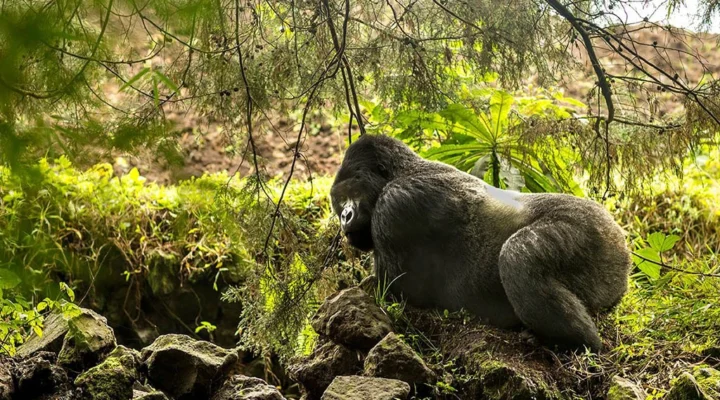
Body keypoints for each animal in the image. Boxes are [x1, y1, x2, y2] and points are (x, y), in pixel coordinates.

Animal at [329, 134, 632, 352]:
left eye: (351, 191)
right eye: (338, 201)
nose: (344, 216)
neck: (402, 171)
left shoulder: (396, 204)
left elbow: (392, 291)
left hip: (596, 232)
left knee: (518, 256)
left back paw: (574, 342)